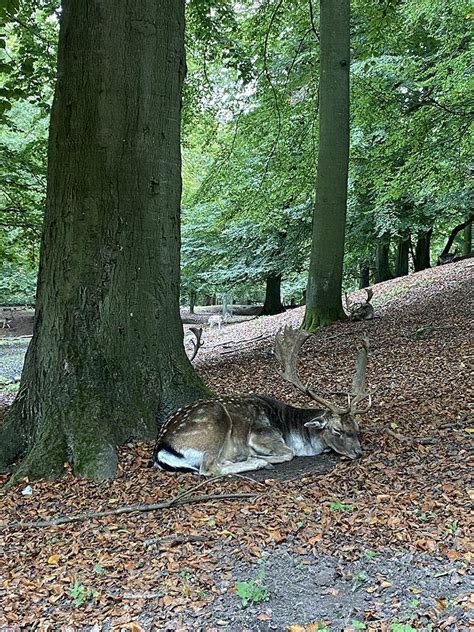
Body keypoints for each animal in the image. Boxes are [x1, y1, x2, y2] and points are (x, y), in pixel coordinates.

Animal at [154, 326, 372, 474]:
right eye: (337, 430)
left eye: (357, 429)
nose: (358, 452)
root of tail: (161, 447)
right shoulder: (261, 435)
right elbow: (288, 453)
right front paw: (258, 456)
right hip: (213, 424)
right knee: (208, 468)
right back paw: (254, 461)